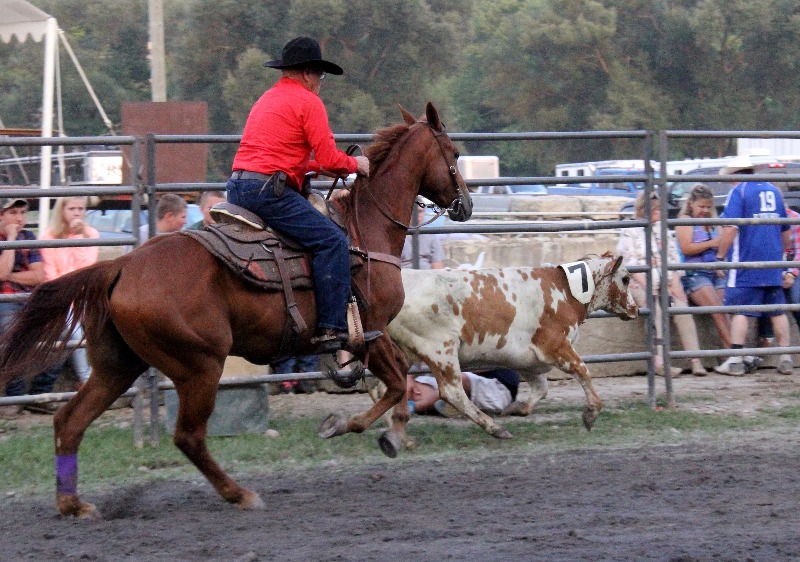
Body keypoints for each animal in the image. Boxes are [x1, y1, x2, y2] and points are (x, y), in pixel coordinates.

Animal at [0, 103, 472, 520]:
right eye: (453, 153)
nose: (465, 205)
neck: (363, 231)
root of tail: (121, 265)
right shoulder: (367, 331)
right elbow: (394, 382)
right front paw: (352, 427)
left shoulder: (371, 337)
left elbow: (398, 380)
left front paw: (387, 431)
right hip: (199, 365)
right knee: (188, 437)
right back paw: (240, 494)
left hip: (118, 365)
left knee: (69, 421)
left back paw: (73, 504)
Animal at [388, 252, 636, 440]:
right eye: (626, 279)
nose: (634, 308)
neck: (565, 292)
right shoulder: (556, 346)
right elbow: (583, 371)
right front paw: (591, 413)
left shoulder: (527, 360)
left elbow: (541, 388)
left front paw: (518, 408)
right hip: (440, 350)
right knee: (453, 392)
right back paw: (495, 429)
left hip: (404, 351)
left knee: (391, 387)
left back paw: (395, 435)